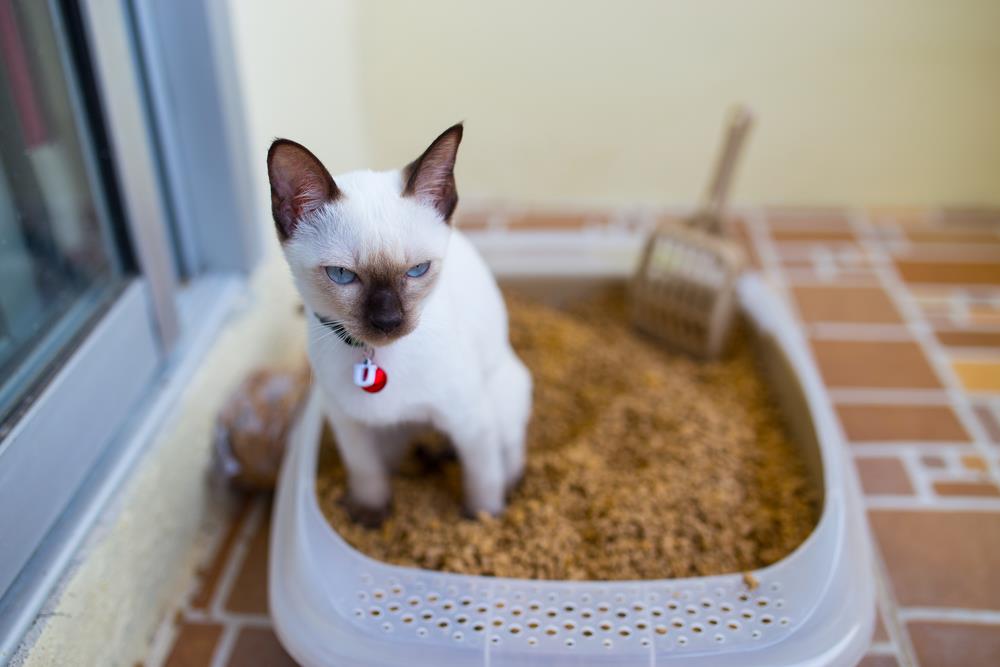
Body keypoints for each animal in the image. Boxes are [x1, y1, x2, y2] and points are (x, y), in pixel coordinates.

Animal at [266, 122, 532, 524]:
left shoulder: (471, 424)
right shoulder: (349, 423)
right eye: (342, 275)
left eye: (418, 270)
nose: (388, 321)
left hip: (499, 402)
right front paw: (369, 518)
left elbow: (483, 482)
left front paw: (482, 522)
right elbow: (366, 475)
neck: (376, 358)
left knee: (509, 453)